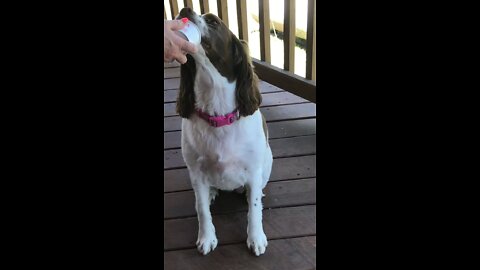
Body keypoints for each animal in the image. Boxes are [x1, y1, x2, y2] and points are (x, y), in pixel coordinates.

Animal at [176, 8, 274, 256]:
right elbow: (201, 209)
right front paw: (207, 237)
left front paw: (256, 237)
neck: (218, 115)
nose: (184, 10)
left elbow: (254, 210)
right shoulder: (196, 172)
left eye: (213, 21)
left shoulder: (253, 170)